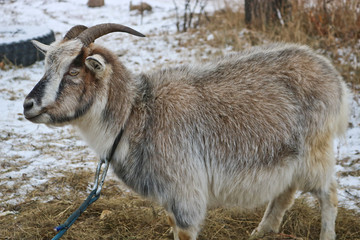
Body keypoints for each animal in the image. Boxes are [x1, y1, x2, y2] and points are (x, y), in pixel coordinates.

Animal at [23, 23, 348, 240]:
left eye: (73, 71)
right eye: (46, 66)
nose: (28, 105)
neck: (138, 114)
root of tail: (332, 75)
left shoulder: (185, 191)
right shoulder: (170, 194)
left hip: (315, 149)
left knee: (328, 194)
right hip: (288, 151)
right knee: (286, 189)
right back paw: (262, 230)